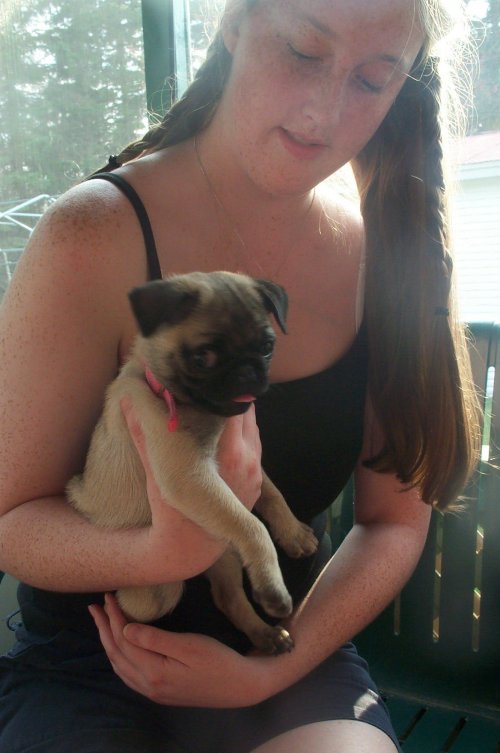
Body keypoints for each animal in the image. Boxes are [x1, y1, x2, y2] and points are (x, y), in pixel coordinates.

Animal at [67, 271, 318, 654]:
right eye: (203, 358)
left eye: (267, 347)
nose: (248, 371)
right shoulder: (191, 477)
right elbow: (252, 526)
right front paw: (273, 588)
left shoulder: (245, 465)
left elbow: (272, 493)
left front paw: (292, 533)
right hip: (159, 589)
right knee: (137, 605)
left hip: (223, 555)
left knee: (228, 598)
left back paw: (266, 635)